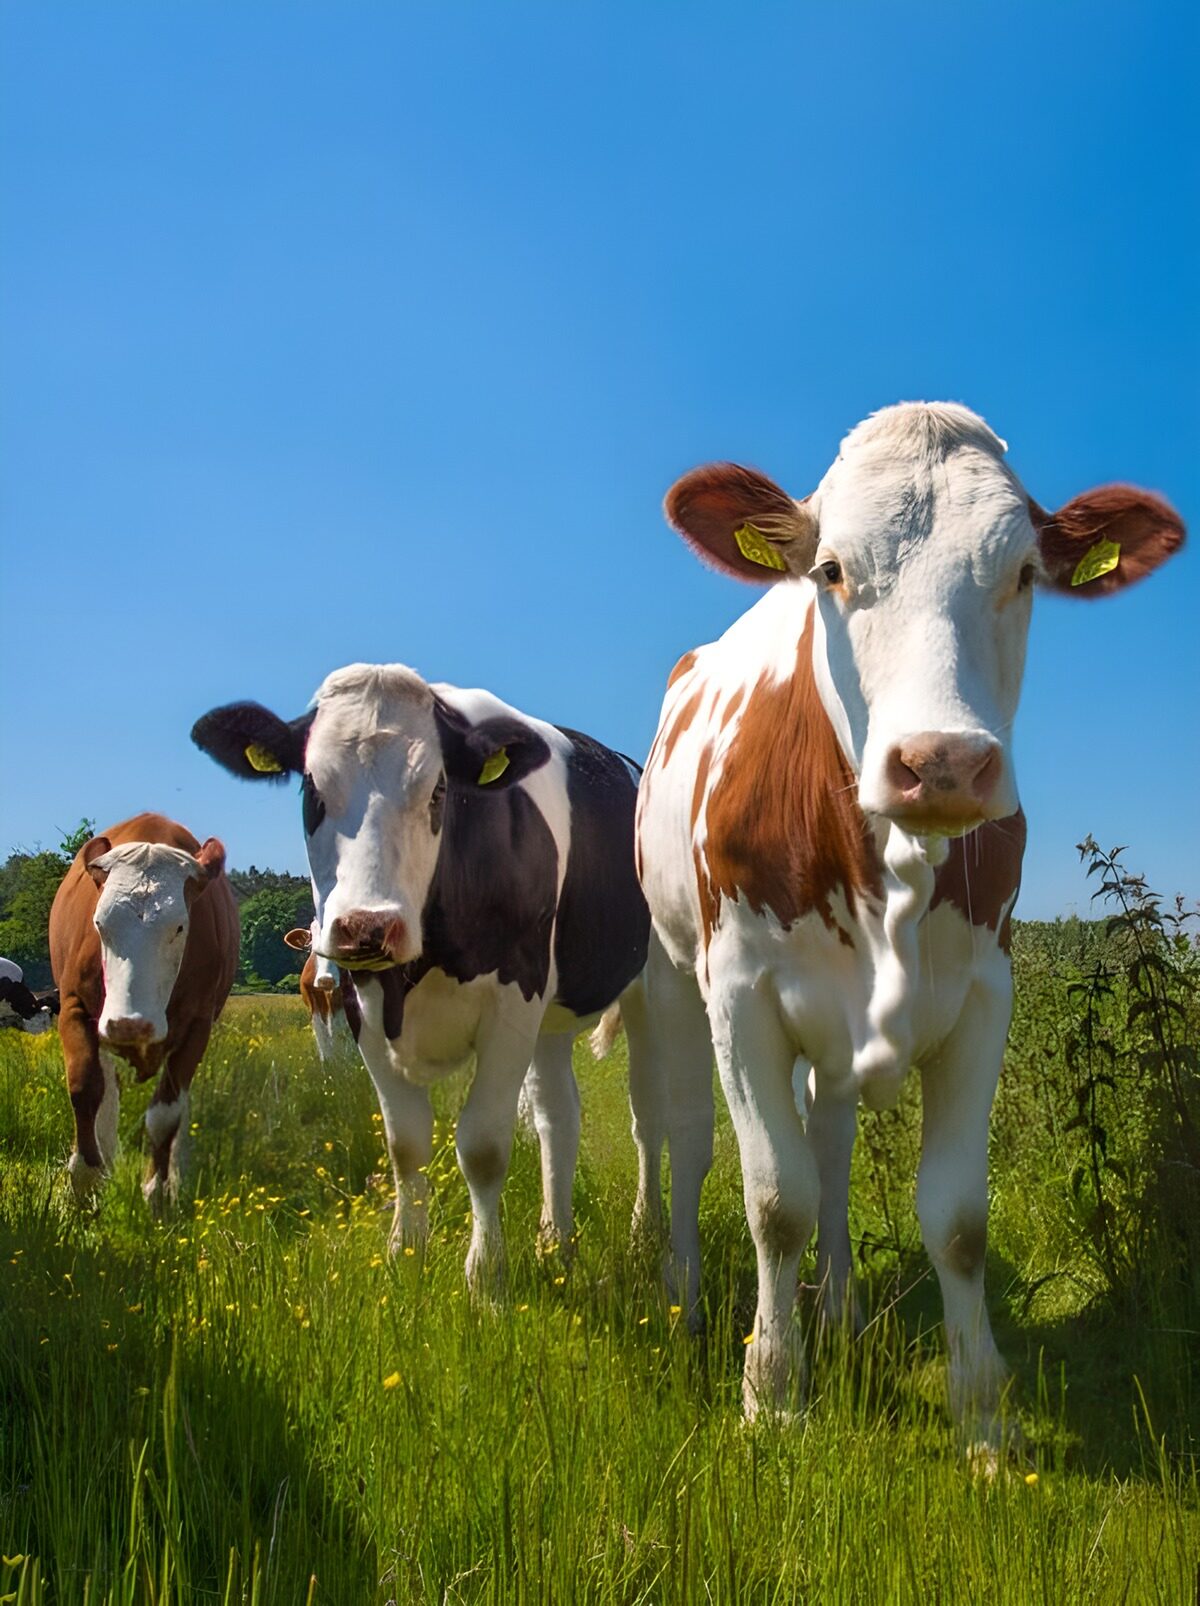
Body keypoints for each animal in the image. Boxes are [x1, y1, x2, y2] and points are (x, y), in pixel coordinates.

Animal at [48, 812, 239, 1210]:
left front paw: (158, 1191)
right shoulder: (73, 1007)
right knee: (106, 1090)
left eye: (180, 926)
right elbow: (85, 1088)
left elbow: (167, 1112)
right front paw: (85, 1178)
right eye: (99, 923)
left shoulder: (198, 1025)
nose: (128, 1025)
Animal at [635, 402, 1183, 1451]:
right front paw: (773, 1394)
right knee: (686, 1136)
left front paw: (983, 1416)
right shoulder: (742, 993)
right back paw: (684, 1292)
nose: (942, 762)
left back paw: (842, 1311)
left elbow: (956, 1217)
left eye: (1024, 574)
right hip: (676, 978)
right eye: (832, 569)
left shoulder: (982, 997)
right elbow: (775, 1199)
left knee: (833, 1139)